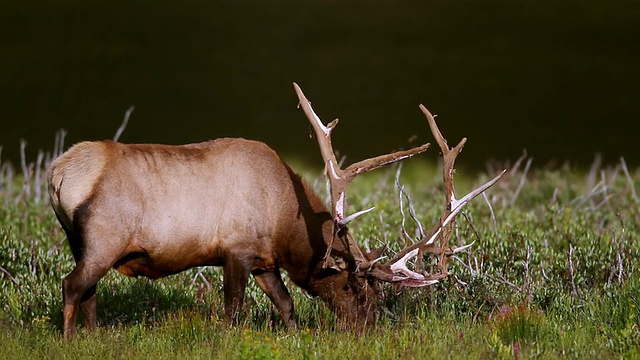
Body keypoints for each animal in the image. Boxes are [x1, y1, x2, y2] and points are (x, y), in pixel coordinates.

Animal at [47, 82, 504, 338]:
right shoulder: (236, 249)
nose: (366, 330)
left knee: (87, 291)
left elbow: (286, 305)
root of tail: (58, 174)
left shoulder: (264, 261)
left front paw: (294, 335)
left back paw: (93, 338)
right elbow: (233, 309)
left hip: (78, 241)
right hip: (104, 238)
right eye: (355, 288)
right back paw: (70, 341)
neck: (286, 222)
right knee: (72, 285)